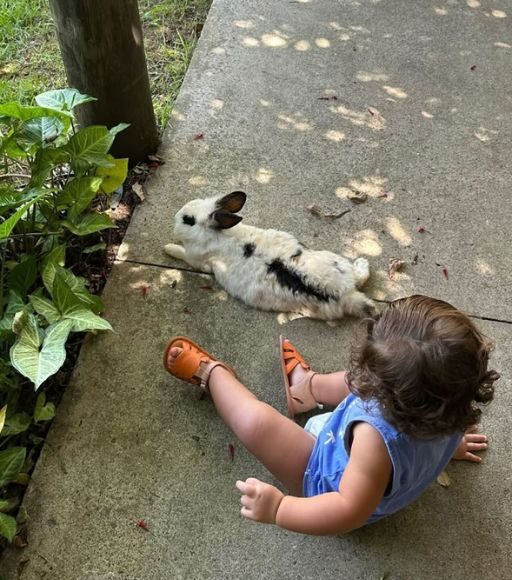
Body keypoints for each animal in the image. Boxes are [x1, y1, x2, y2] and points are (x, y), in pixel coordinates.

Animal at [164, 191, 376, 320]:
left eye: (188, 220)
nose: (175, 218)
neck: (218, 234)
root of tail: (346, 294)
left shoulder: (194, 259)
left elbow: (181, 253)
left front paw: (168, 248)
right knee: (361, 277)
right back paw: (363, 263)